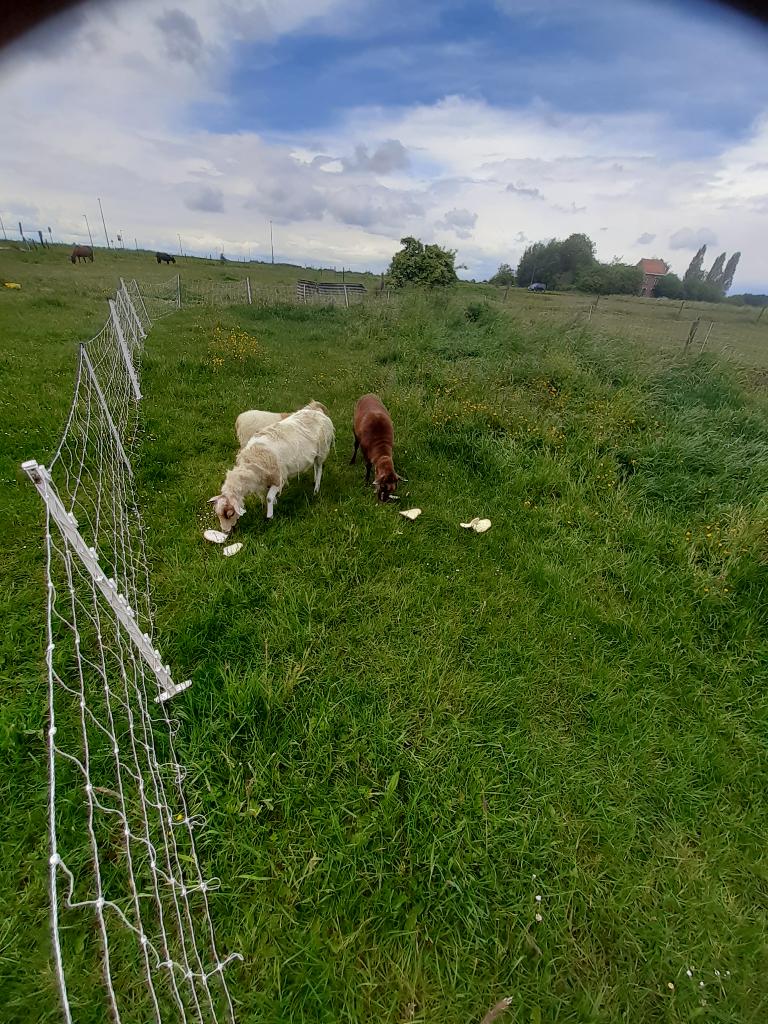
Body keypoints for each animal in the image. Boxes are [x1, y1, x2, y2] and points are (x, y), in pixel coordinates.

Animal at [209, 400, 334, 531]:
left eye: (230, 514)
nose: (225, 531)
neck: (252, 461)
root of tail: (317, 411)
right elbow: (268, 496)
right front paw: (274, 503)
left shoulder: (279, 477)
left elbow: (268, 497)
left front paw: (270, 516)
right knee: (315, 466)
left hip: (322, 450)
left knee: (319, 468)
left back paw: (316, 489)